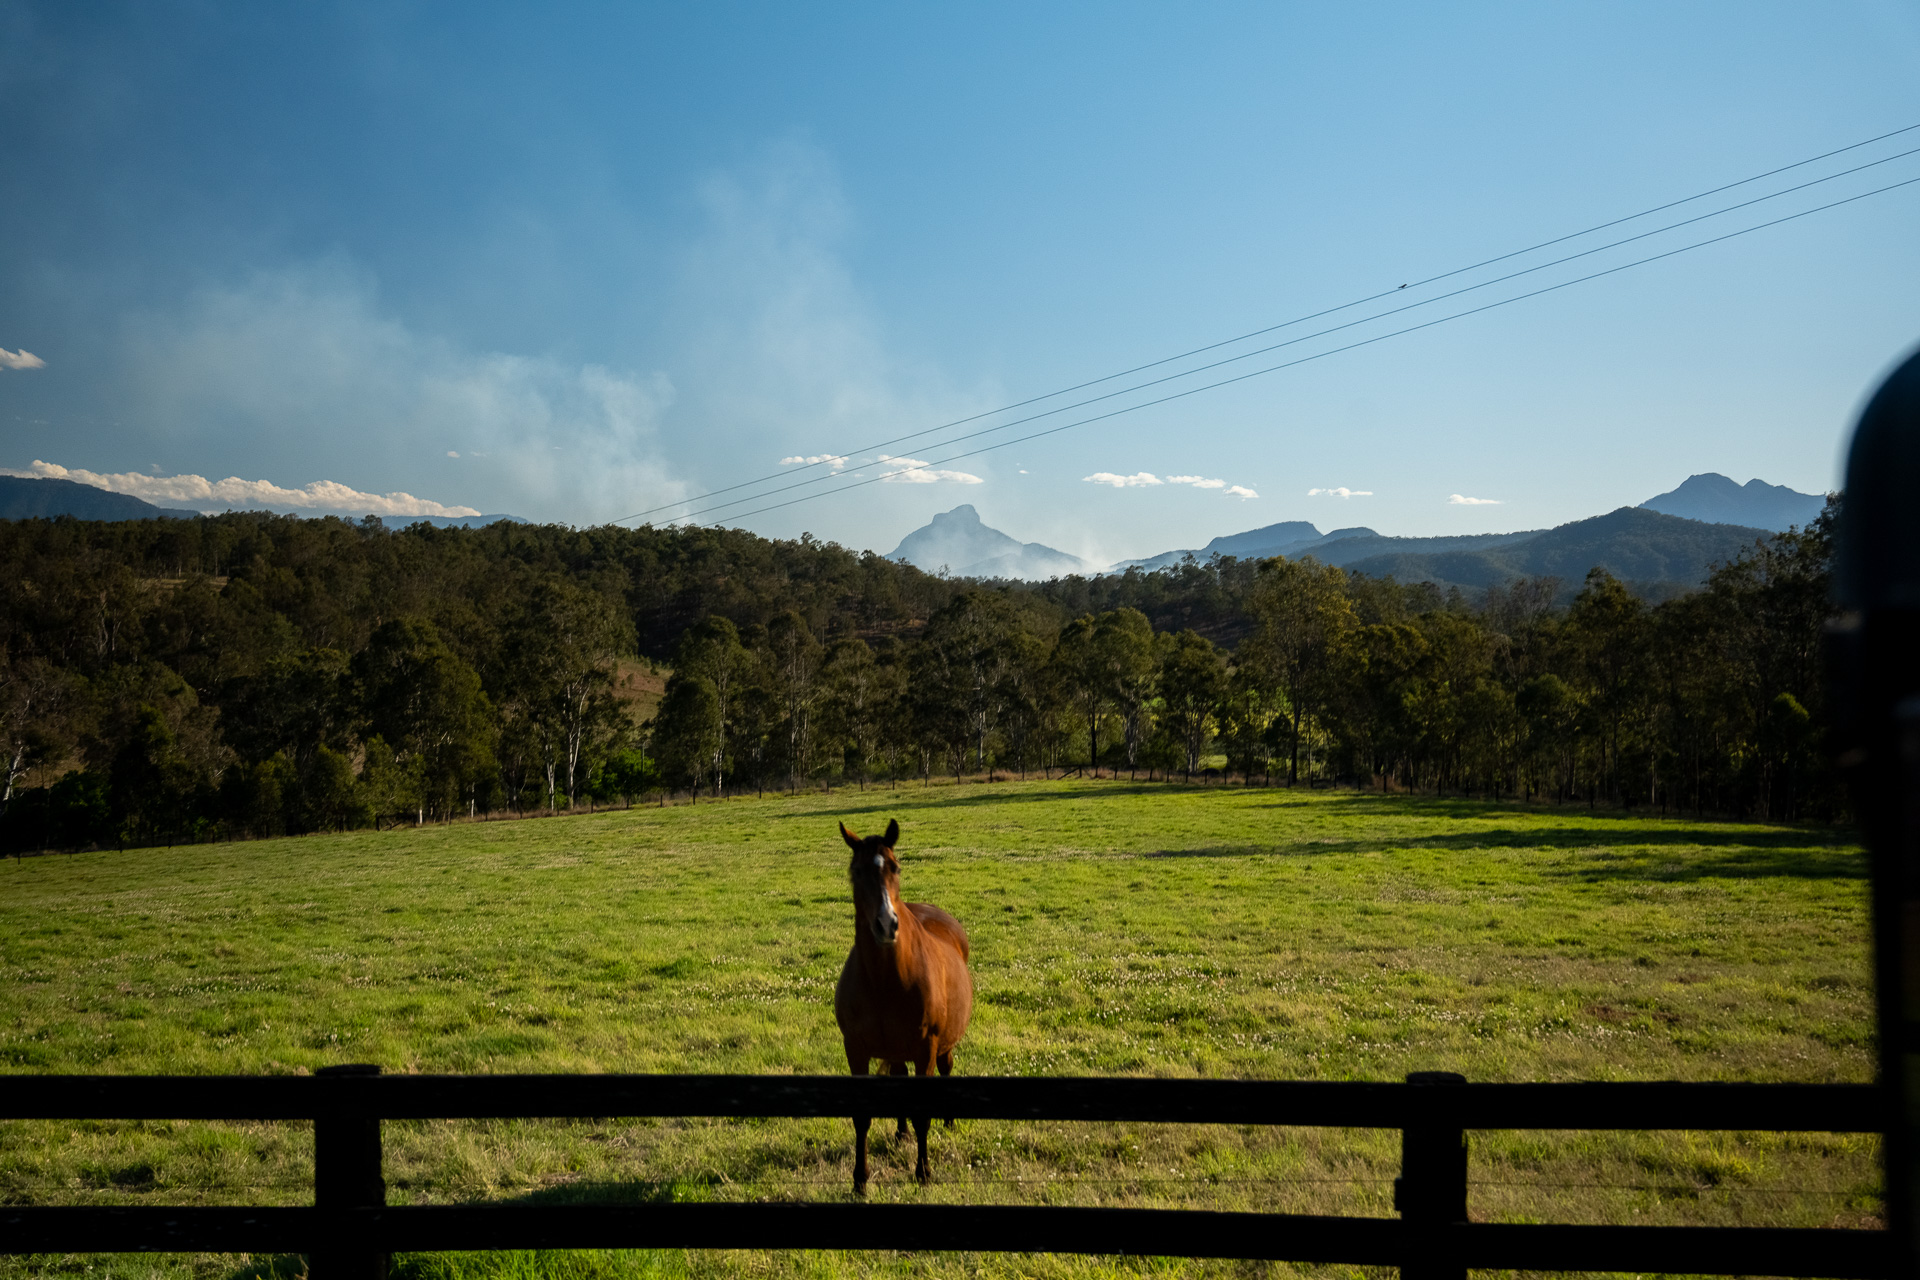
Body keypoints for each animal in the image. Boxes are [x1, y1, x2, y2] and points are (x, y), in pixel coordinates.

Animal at [833, 818, 973, 1193]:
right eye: (856, 871)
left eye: (895, 867)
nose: (887, 924)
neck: (885, 979)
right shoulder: (856, 1049)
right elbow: (862, 1116)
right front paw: (860, 1180)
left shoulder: (926, 1048)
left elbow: (923, 1112)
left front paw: (923, 1172)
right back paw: (900, 1133)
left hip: (942, 1046)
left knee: (947, 1069)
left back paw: (948, 1123)